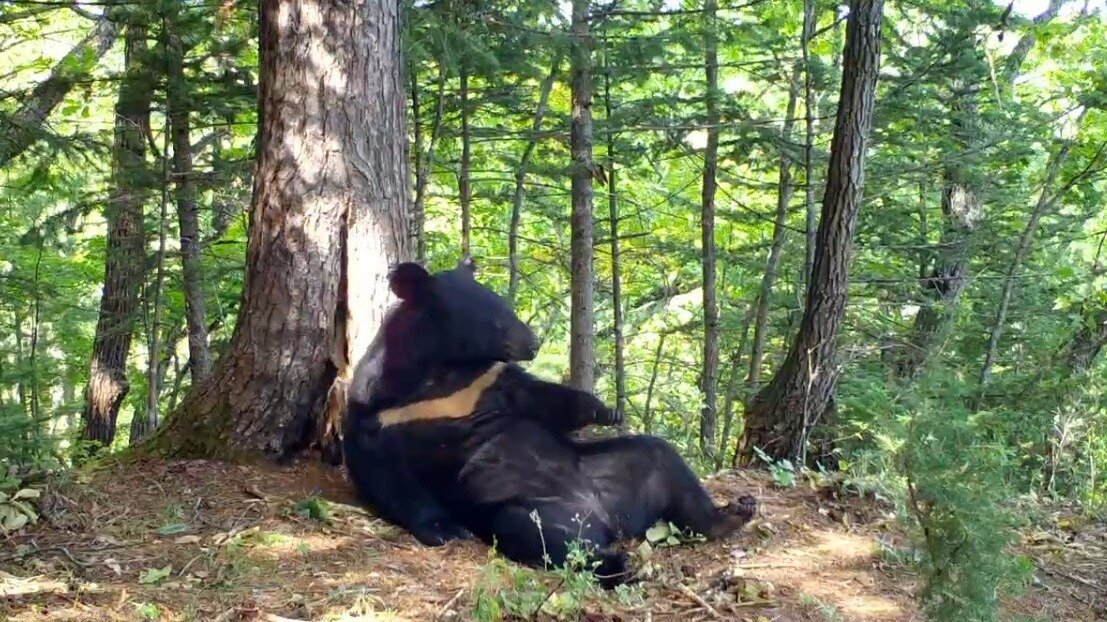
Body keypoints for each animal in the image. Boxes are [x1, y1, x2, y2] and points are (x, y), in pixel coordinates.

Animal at [345, 257, 757, 584]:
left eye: (505, 304)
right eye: (493, 319)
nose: (534, 341)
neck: (441, 375)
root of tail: (607, 519)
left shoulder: (490, 381)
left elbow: (541, 398)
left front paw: (605, 410)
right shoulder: (378, 417)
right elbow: (389, 479)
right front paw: (448, 530)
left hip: (625, 466)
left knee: (667, 464)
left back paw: (734, 512)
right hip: (525, 511)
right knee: (542, 538)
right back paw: (617, 562)